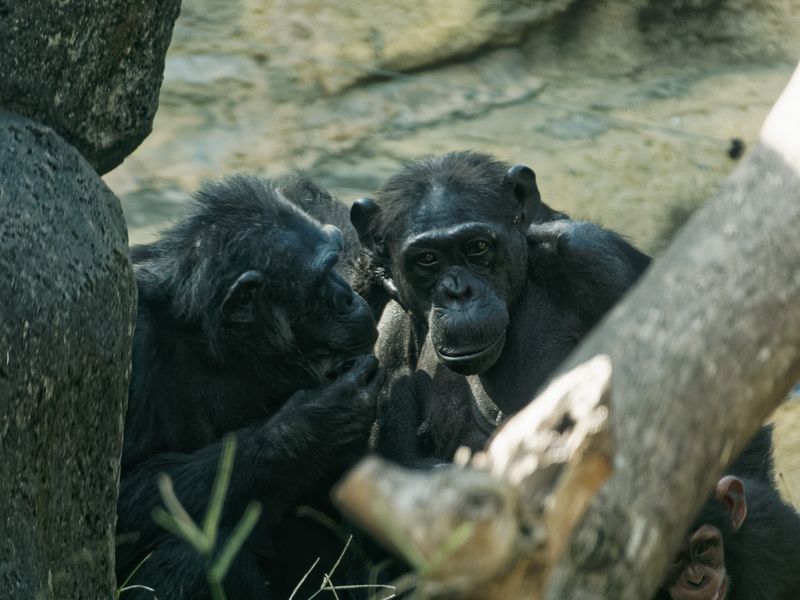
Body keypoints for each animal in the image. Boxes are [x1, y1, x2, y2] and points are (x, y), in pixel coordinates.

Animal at [115, 173, 384, 600]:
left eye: (336, 259)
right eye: (324, 274)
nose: (347, 294)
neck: (219, 342)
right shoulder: (131, 339)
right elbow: (121, 499)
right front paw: (314, 423)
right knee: (196, 555)